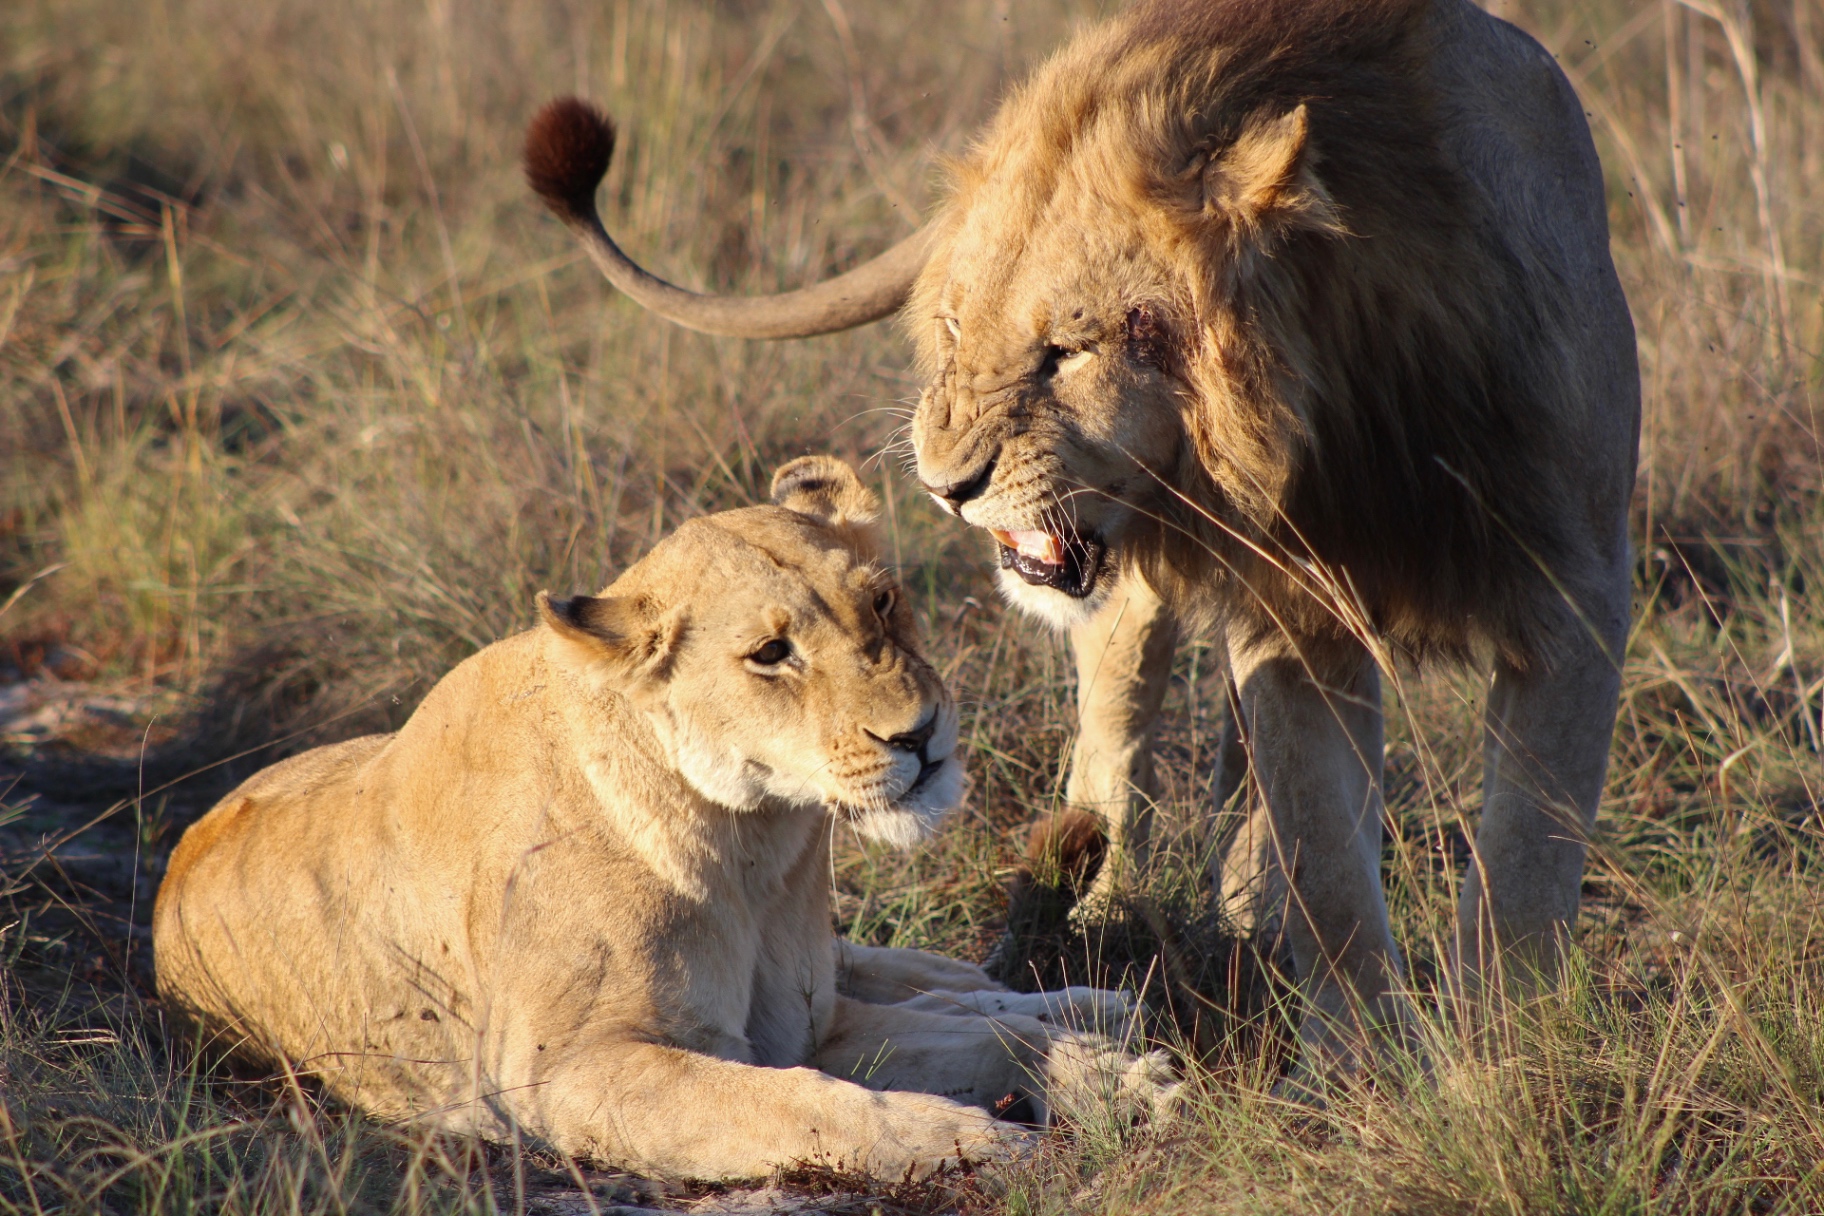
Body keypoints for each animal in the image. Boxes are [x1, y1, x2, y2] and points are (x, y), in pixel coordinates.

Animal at [153, 456, 1173, 1181]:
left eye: (882, 600)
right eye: (771, 654)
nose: (919, 736)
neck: (755, 850)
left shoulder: (804, 1021)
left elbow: (986, 1039)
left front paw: (1115, 1083)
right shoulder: (570, 1074)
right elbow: (807, 1104)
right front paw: (977, 1141)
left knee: (931, 978)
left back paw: (1095, 1003)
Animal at [521, 0, 1639, 1071]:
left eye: (1069, 349)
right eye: (955, 330)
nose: (946, 487)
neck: (1346, 416)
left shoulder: (1574, 594)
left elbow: (1529, 853)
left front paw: (1508, 1050)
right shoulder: (1288, 612)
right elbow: (1326, 850)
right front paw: (1362, 1061)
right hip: (1129, 600)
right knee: (1120, 728)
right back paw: (1115, 907)